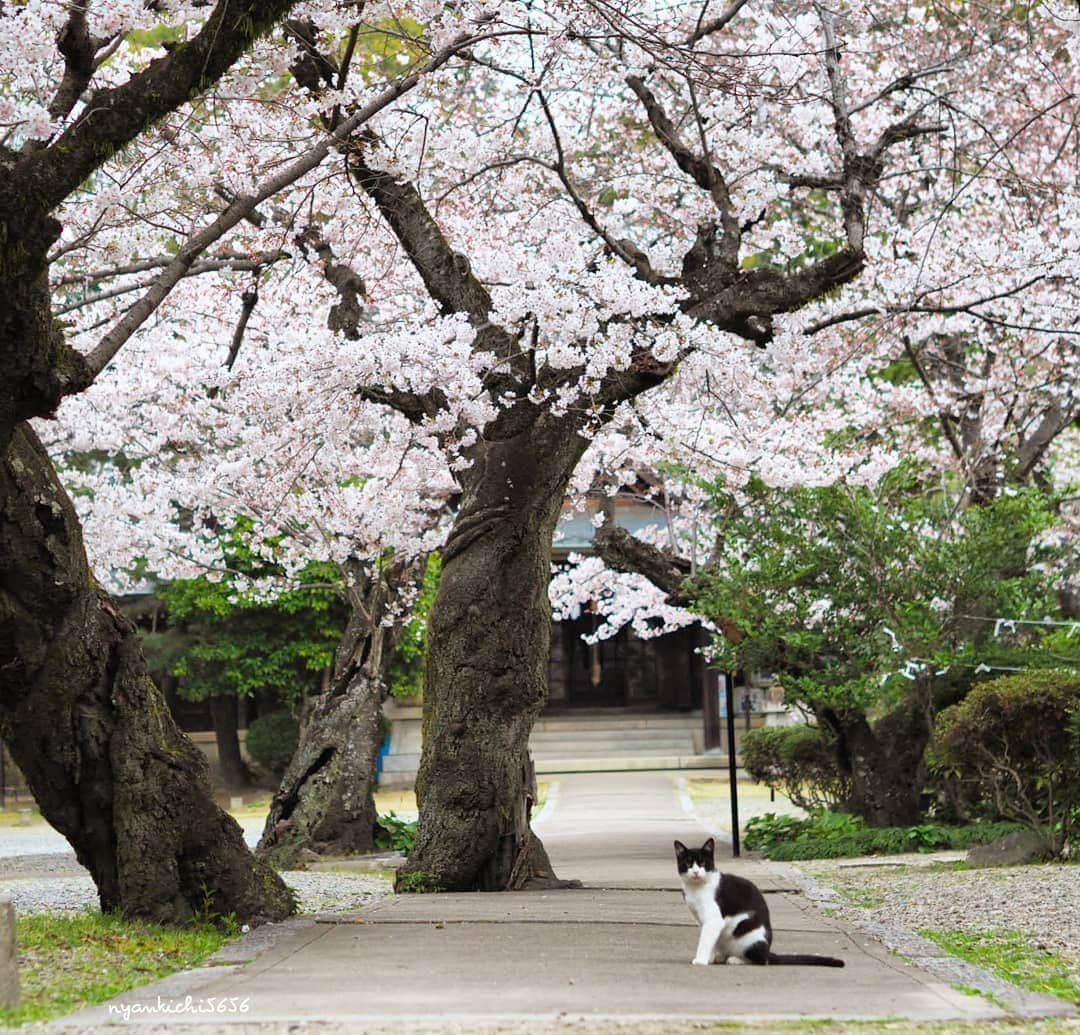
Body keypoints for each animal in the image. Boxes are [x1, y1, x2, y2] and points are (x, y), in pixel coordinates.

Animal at [673, 838, 842, 968]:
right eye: (688, 863)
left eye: (702, 863)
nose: (696, 872)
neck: (697, 888)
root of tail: (768, 951)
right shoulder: (703, 921)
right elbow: (709, 940)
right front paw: (709, 958)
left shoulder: (714, 920)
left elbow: (705, 941)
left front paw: (701, 960)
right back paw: (722, 956)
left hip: (750, 938)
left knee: (761, 961)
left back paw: (736, 959)